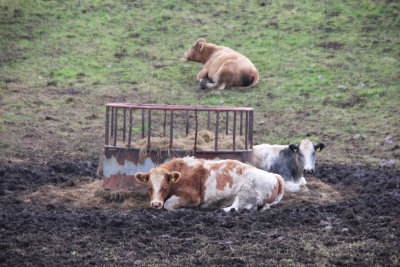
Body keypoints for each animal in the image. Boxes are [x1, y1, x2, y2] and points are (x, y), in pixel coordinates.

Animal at [135, 158, 284, 213]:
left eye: (165, 186)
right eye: (149, 186)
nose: (155, 203)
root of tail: (274, 176)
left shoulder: (192, 197)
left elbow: (168, 205)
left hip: (245, 190)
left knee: (236, 207)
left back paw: (225, 209)